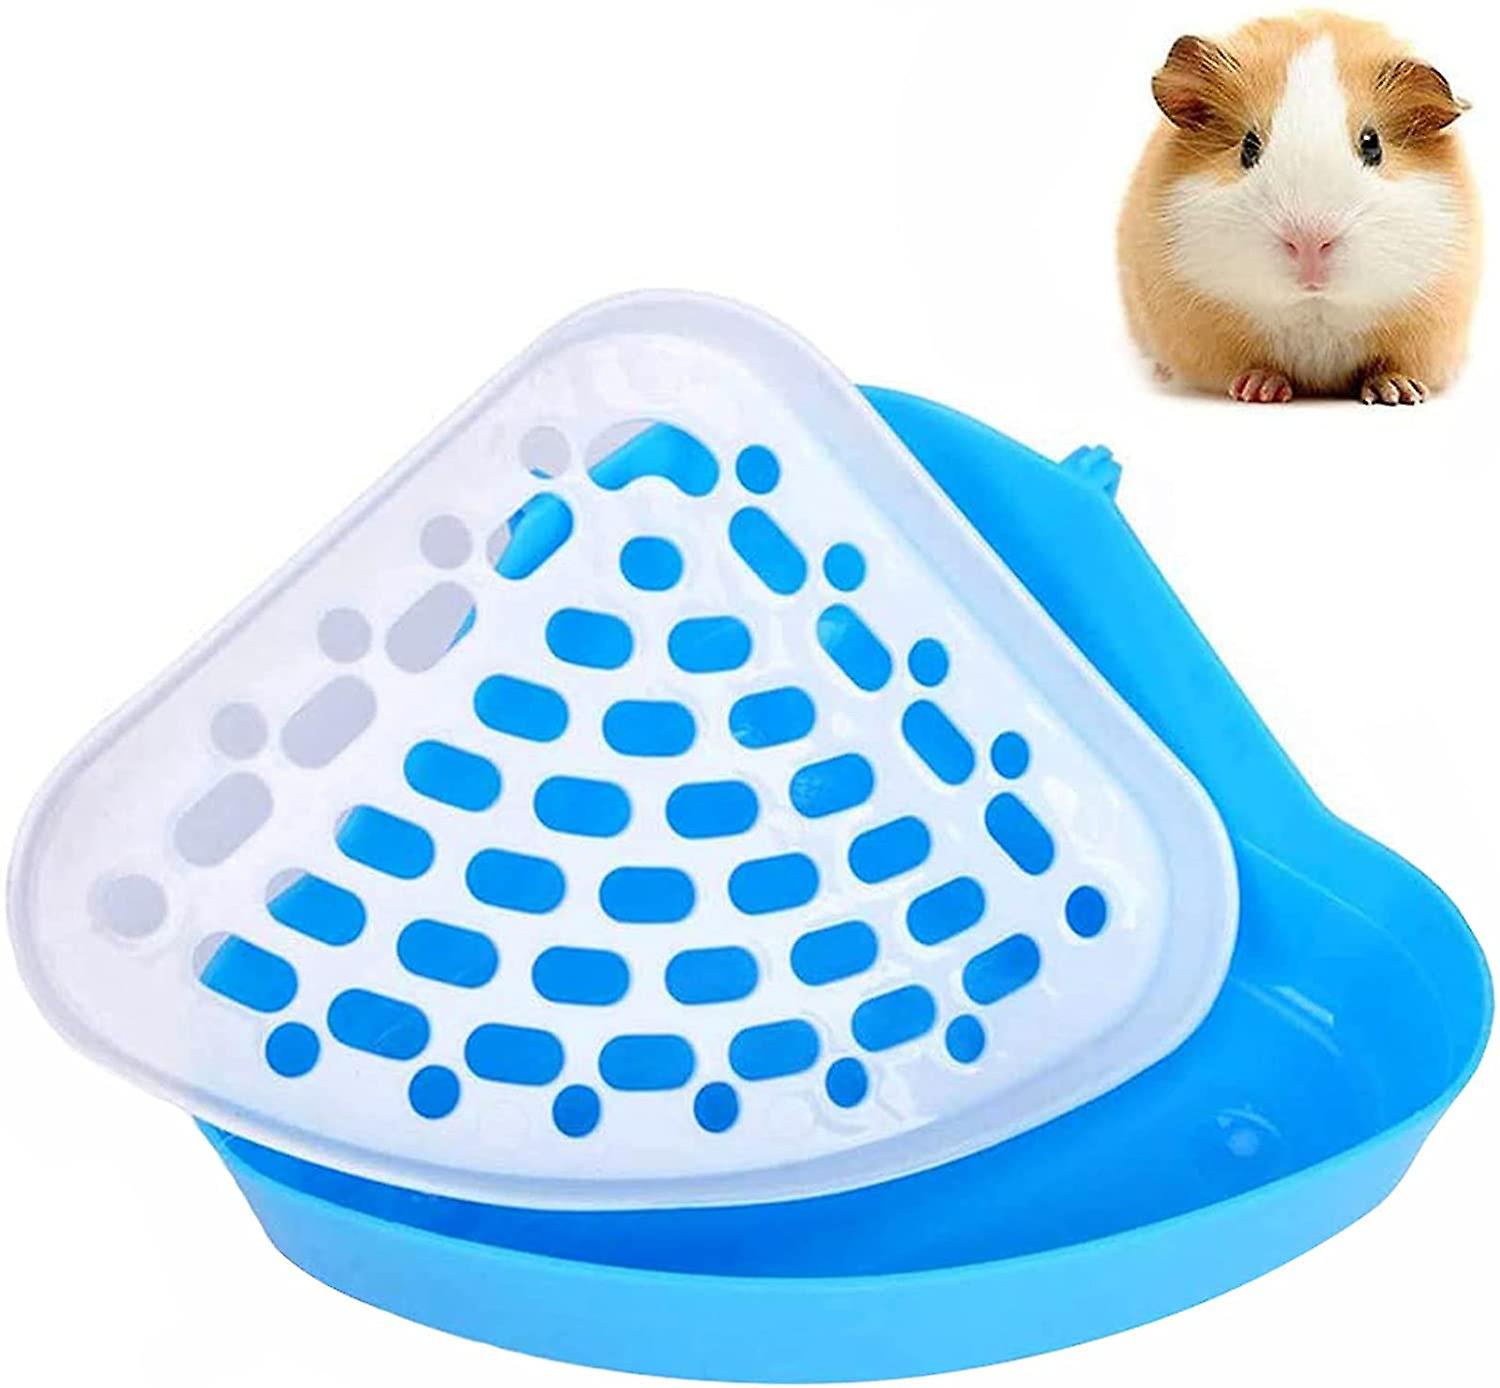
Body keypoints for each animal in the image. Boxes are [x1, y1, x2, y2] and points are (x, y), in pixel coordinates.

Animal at [1118, 13, 1479, 404]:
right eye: (1248, 147)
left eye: (1372, 145)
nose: (1309, 243)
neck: (1314, 309)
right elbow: (1251, 366)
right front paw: (1259, 390)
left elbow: (1390, 365)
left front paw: (1398, 393)